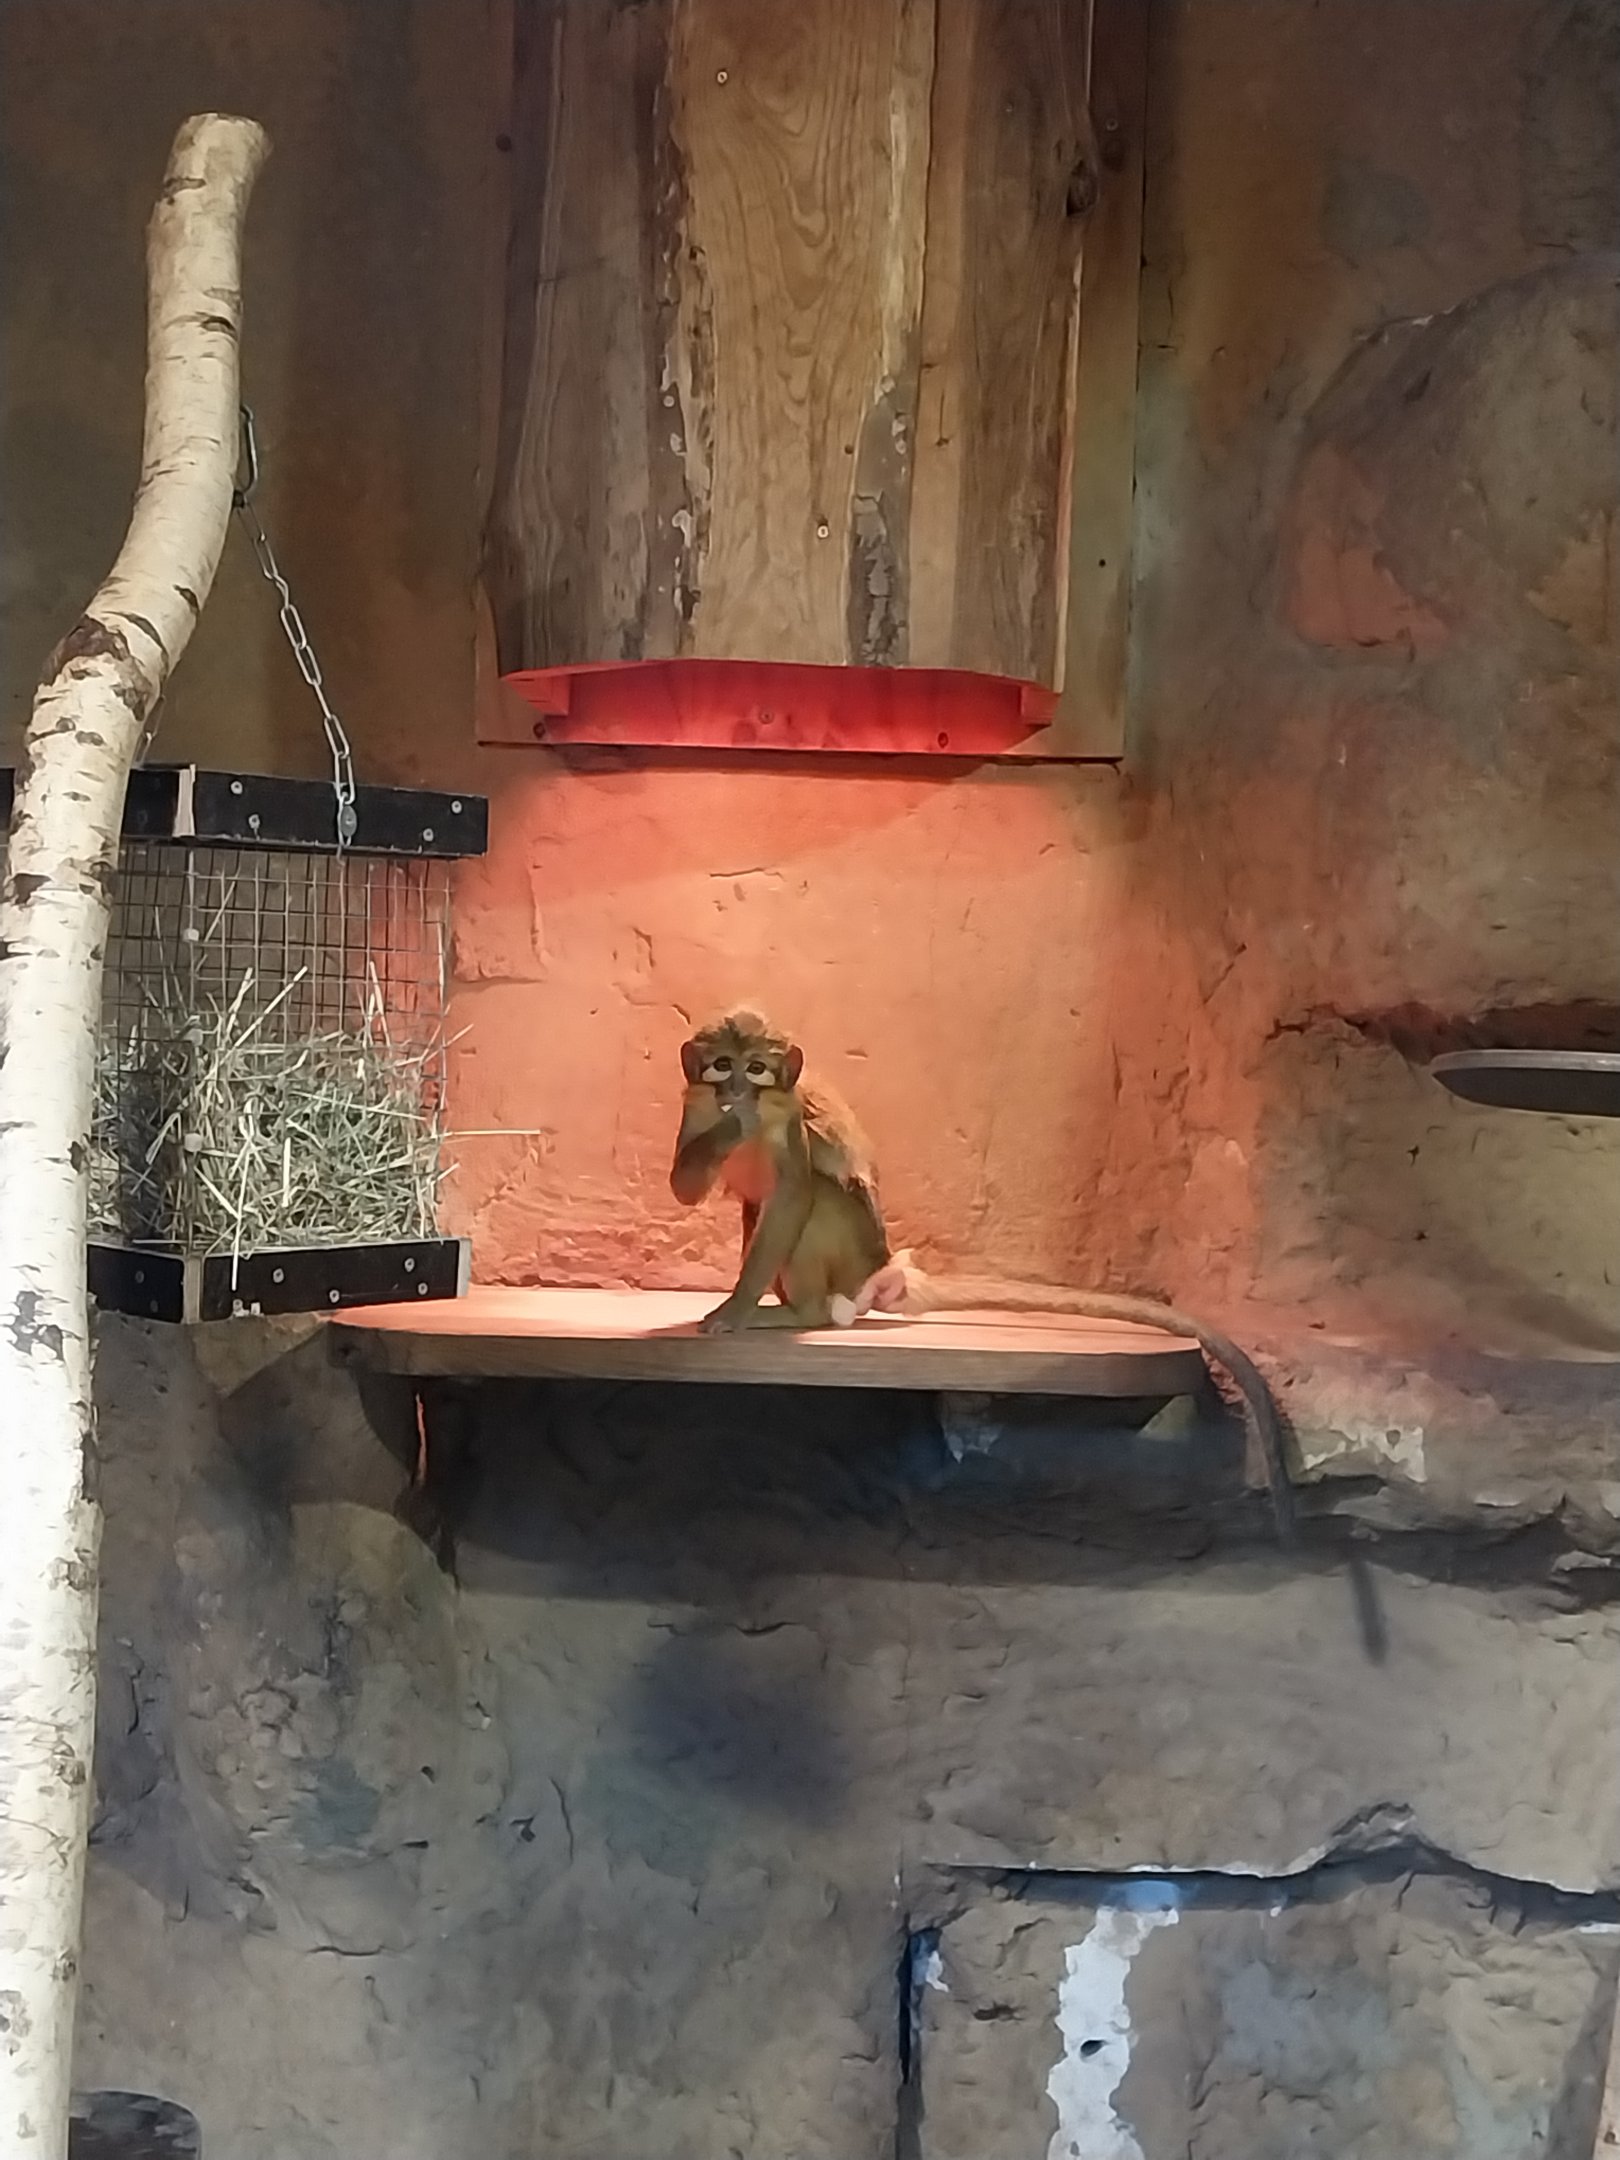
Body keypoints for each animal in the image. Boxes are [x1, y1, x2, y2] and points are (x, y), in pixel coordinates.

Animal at [669, 1010, 889, 1334]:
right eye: (722, 1065)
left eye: (756, 1068)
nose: (737, 1090)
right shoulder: (697, 1103)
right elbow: (683, 1190)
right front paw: (731, 1127)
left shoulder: (786, 1113)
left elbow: (791, 1197)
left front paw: (737, 1309)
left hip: (854, 1268)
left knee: (820, 1198)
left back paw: (804, 1314)